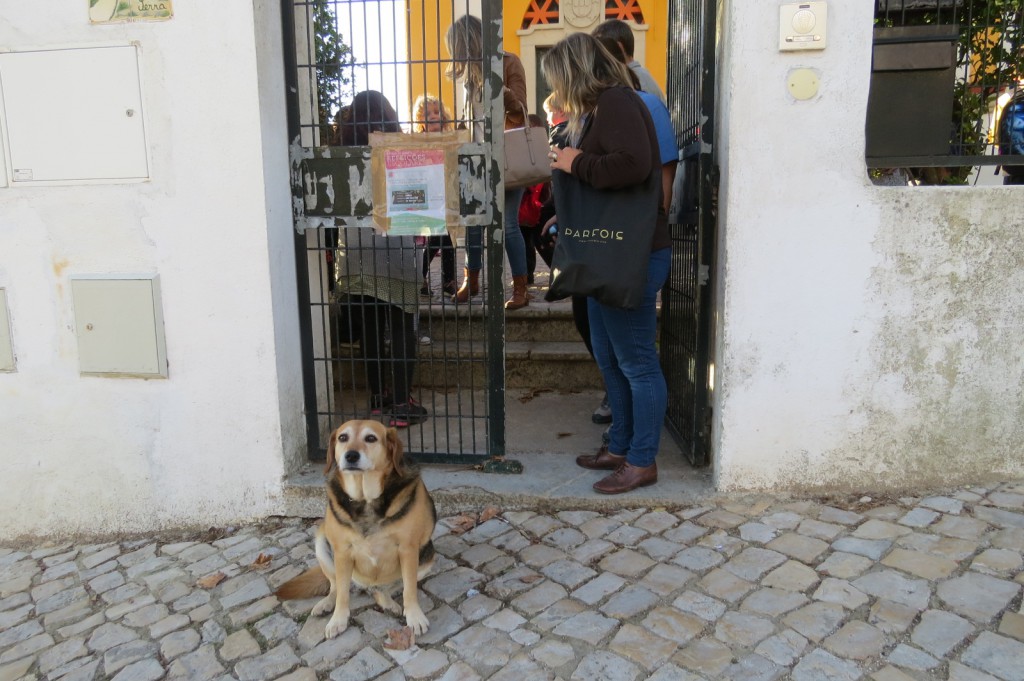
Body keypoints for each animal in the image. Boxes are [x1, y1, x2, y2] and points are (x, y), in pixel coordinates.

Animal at [274, 419, 434, 639]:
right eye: (343, 437)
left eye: (371, 438)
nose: (350, 455)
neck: (365, 498)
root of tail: (364, 584)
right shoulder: (342, 552)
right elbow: (342, 593)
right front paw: (338, 620)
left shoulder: (408, 549)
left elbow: (409, 590)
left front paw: (415, 617)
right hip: (322, 542)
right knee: (336, 586)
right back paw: (326, 604)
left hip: (426, 559)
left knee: (384, 589)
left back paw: (388, 602)